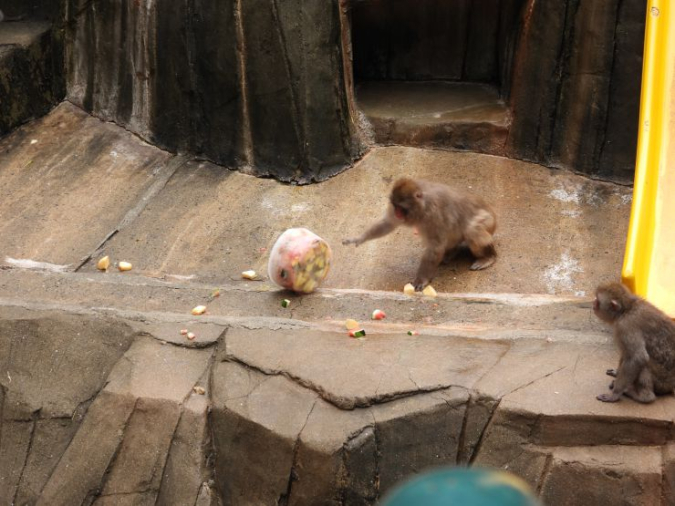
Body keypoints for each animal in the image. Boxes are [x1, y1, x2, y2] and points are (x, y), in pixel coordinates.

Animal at [344, 178, 496, 290]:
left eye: (401, 207)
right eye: (395, 205)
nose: (396, 213)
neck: (423, 205)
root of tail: (494, 217)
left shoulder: (434, 214)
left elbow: (435, 247)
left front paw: (421, 279)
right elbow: (388, 223)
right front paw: (359, 239)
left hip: (488, 222)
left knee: (472, 229)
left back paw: (488, 257)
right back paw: (452, 252)